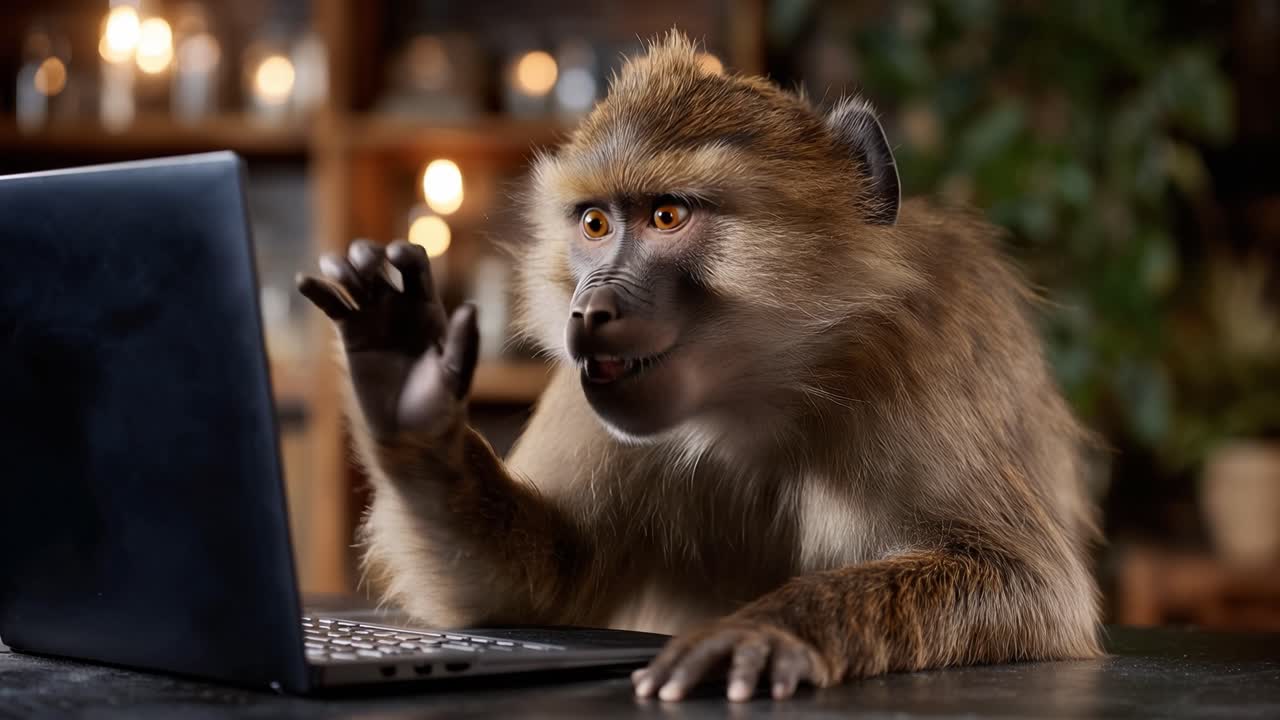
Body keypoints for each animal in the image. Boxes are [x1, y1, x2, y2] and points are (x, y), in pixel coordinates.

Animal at [296, 32, 1102, 703]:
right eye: (595, 223)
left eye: (667, 217)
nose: (590, 309)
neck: (766, 399)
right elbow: (534, 594)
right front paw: (408, 402)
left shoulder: (918, 365)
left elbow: (1032, 588)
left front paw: (770, 627)